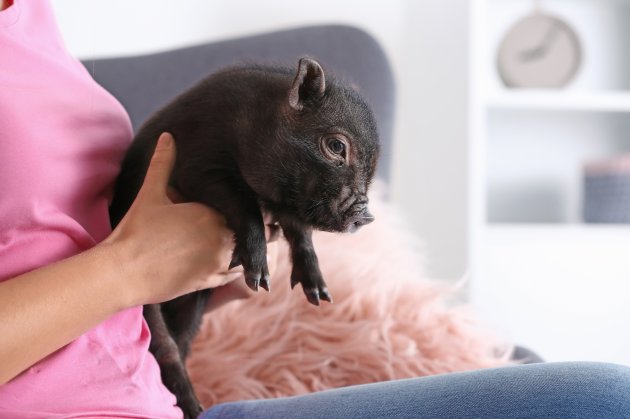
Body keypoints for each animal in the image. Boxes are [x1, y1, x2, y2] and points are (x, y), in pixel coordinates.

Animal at [110, 57, 380, 418]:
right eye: (336, 146)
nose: (366, 215)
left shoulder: (287, 208)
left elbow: (301, 234)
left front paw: (320, 295)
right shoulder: (199, 166)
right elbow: (244, 204)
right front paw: (260, 280)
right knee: (165, 349)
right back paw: (196, 407)